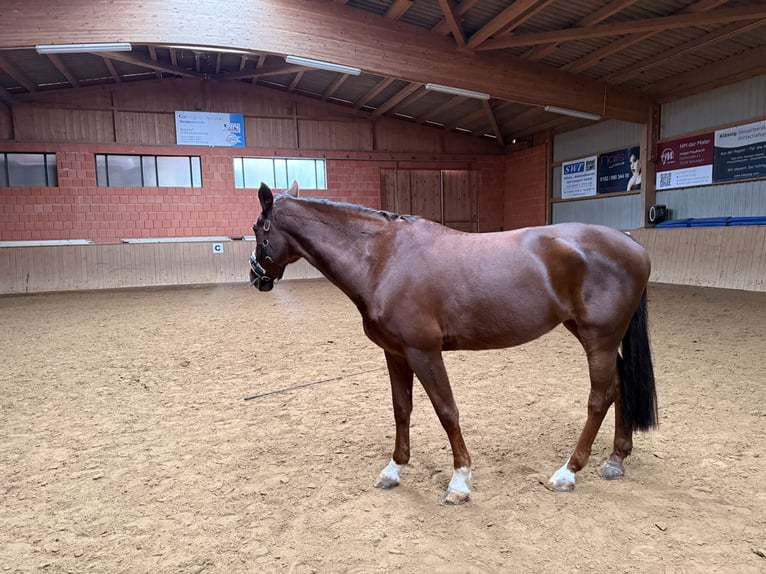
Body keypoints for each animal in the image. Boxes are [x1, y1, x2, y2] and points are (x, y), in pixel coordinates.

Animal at [249, 182, 657, 504]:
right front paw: (394, 468)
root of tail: (629, 242)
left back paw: (569, 471)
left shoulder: (424, 353)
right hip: (591, 335)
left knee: (600, 398)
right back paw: (615, 459)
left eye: (258, 228)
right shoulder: (396, 354)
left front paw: (460, 481)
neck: (383, 259)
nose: (256, 277)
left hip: (599, 338)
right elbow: (402, 409)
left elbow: (447, 411)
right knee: (619, 386)